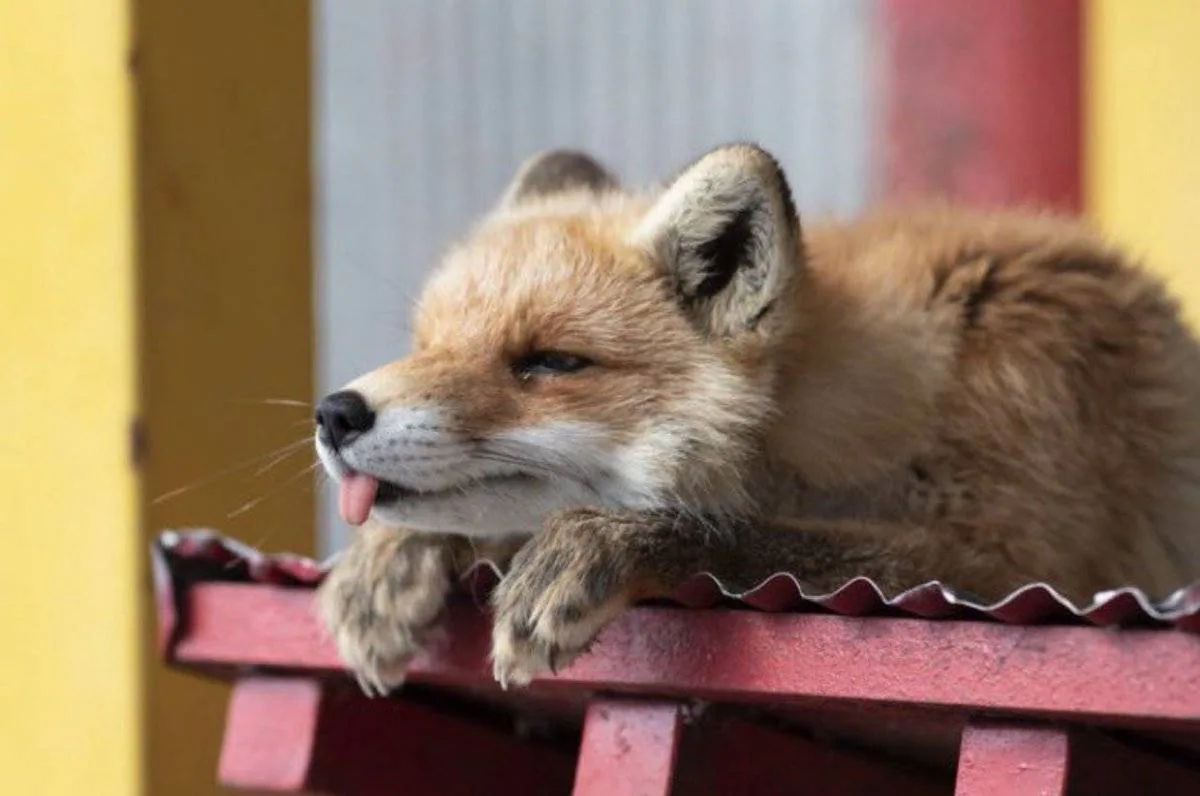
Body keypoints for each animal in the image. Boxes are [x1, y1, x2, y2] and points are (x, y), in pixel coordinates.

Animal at [314, 143, 1200, 692]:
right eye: (428, 344)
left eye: (549, 363)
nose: (335, 414)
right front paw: (386, 561)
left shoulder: (1018, 558)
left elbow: (736, 533)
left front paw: (599, 542)